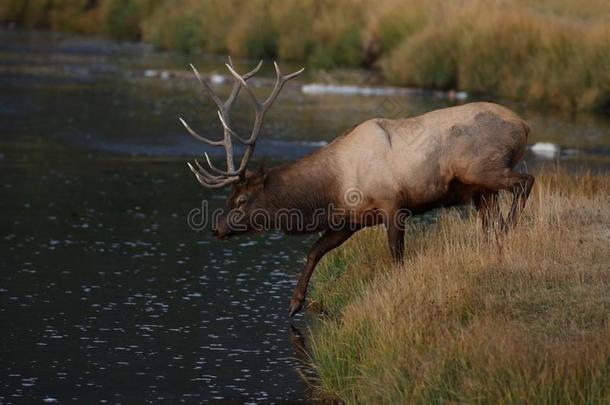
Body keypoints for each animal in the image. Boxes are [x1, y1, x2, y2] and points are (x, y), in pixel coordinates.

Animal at [179, 57, 532, 316]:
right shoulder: (349, 219)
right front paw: (294, 303)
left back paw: (512, 226)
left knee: (525, 183)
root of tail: (525, 124)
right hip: (480, 190)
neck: (333, 187)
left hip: (485, 168)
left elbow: (396, 255)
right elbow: (316, 250)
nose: (216, 228)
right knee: (491, 222)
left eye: (241, 200)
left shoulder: (393, 204)